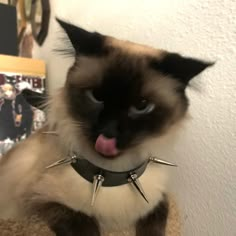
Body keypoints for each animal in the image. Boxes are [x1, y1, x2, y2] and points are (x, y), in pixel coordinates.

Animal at [0, 18, 213, 236]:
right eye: (96, 96)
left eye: (142, 106)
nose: (108, 133)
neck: (110, 176)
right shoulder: (37, 203)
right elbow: (84, 224)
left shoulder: (157, 199)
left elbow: (155, 222)